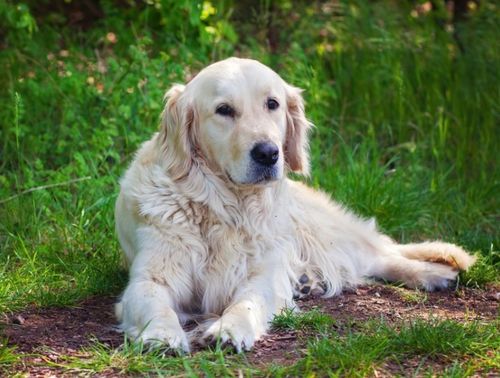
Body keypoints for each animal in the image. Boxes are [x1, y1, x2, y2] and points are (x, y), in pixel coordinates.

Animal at [114, 57, 476, 352]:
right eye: (224, 110)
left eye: (272, 104)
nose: (267, 153)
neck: (226, 207)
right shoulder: (151, 277)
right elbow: (154, 302)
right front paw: (162, 334)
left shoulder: (262, 275)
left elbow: (246, 303)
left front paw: (230, 329)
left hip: (321, 232)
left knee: (381, 255)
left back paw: (433, 273)